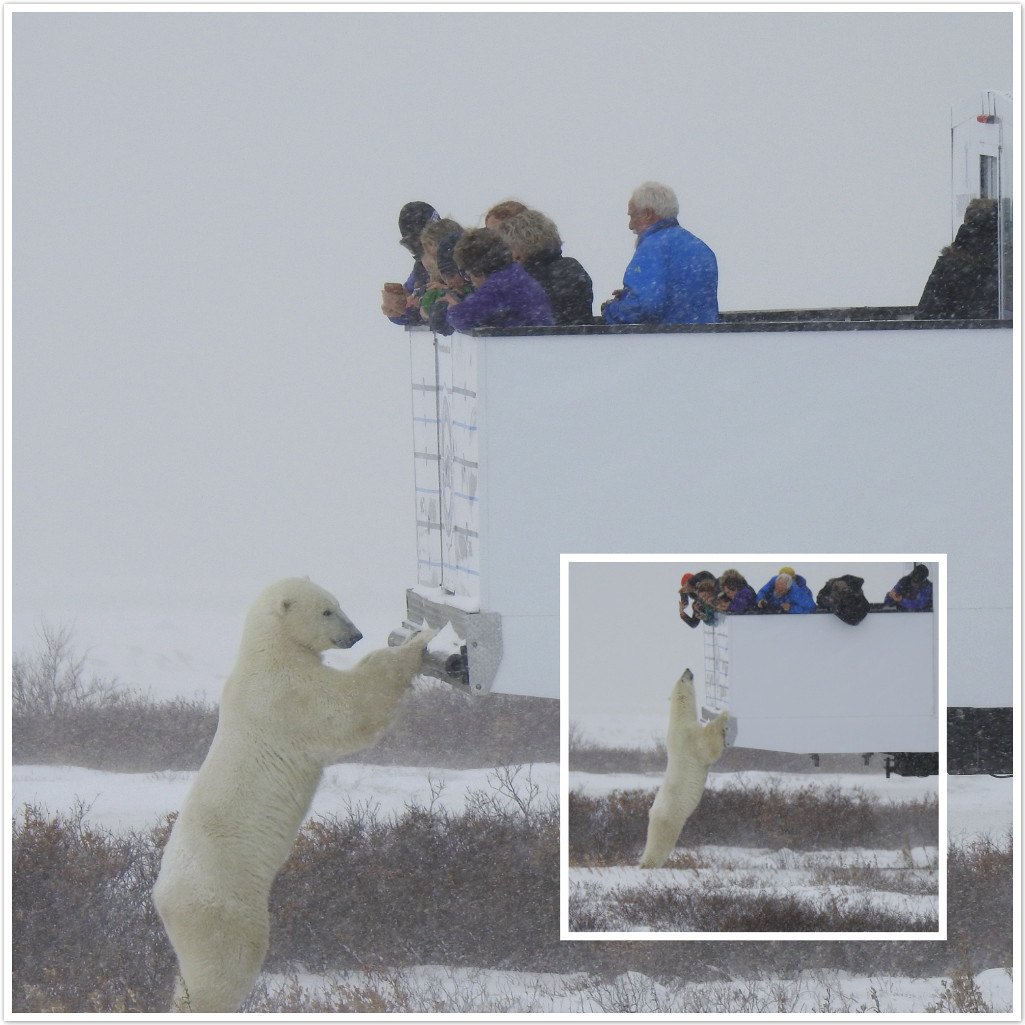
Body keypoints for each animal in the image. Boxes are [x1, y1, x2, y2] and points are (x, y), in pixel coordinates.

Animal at [151, 574, 436, 1012]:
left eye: (338, 603)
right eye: (327, 610)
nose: (355, 635)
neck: (267, 650)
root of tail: (161, 897)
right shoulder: (286, 694)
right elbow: (350, 708)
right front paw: (418, 643)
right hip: (223, 904)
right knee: (228, 962)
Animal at [639, 668, 729, 869]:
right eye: (682, 678)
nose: (688, 669)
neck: (679, 719)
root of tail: (651, 813)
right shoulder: (689, 738)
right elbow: (707, 747)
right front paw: (723, 714)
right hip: (669, 817)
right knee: (661, 841)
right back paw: (647, 864)